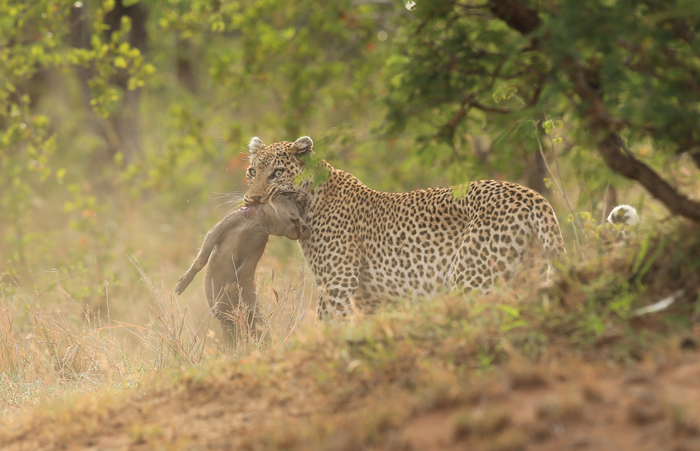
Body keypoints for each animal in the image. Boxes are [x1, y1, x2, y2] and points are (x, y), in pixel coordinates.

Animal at [243, 136, 568, 320]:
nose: (252, 199)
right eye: (252, 172)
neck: (310, 199)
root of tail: (532, 196)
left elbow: (329, 325)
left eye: (277, 173)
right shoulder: (369, 297)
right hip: (525, 275)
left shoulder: (337, 282)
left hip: (471, 279)